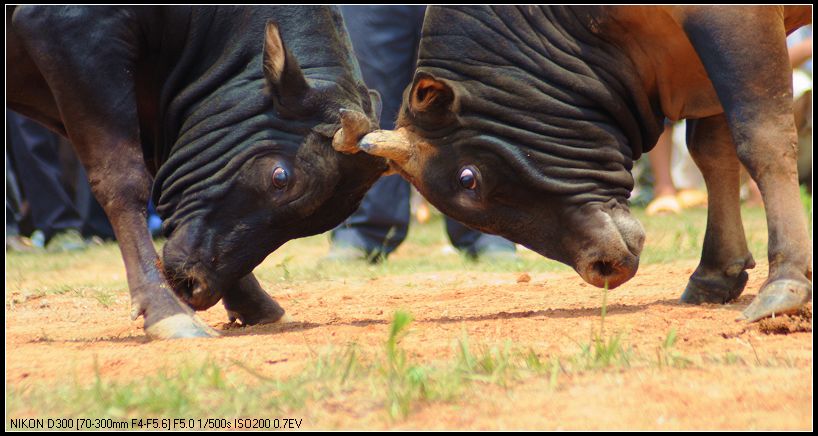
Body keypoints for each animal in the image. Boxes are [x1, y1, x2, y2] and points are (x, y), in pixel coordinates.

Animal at [6, 6, 388, 338]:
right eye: (280, 178)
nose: (196, 285)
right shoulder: (71, 34)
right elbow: (122, 177)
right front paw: (167, 310)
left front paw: (254, 304)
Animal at [350, 5, 808, 320]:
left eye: (468, 179)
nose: (601, 267)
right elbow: (711, 150)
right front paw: (714, 273)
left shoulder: (733, 20)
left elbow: (761, 137)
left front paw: (786, 281)